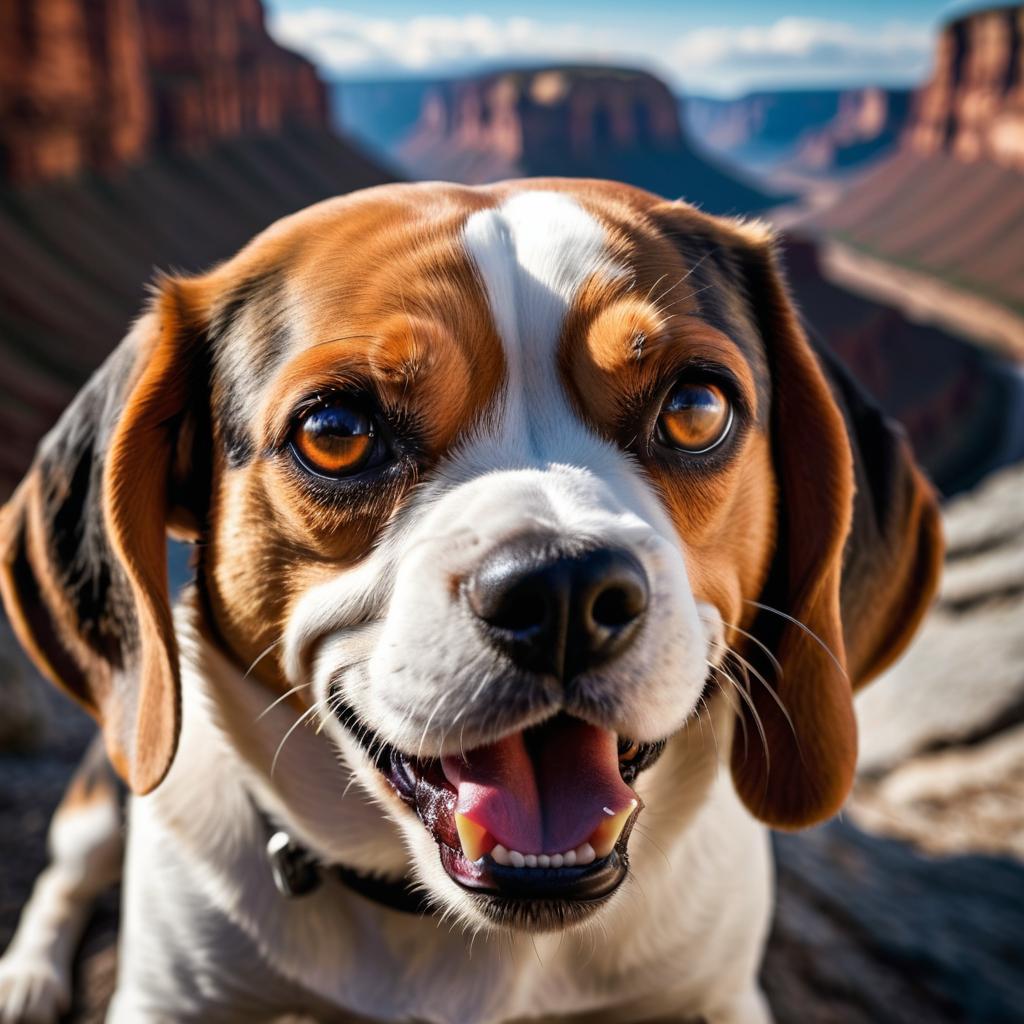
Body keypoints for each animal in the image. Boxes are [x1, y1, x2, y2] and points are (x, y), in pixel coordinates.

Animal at [0, 182, 942, 1024]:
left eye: (696, 406)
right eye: (336, 431)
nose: (564, 590)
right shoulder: (169, 995)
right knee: (64, 872)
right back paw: (27, 976)